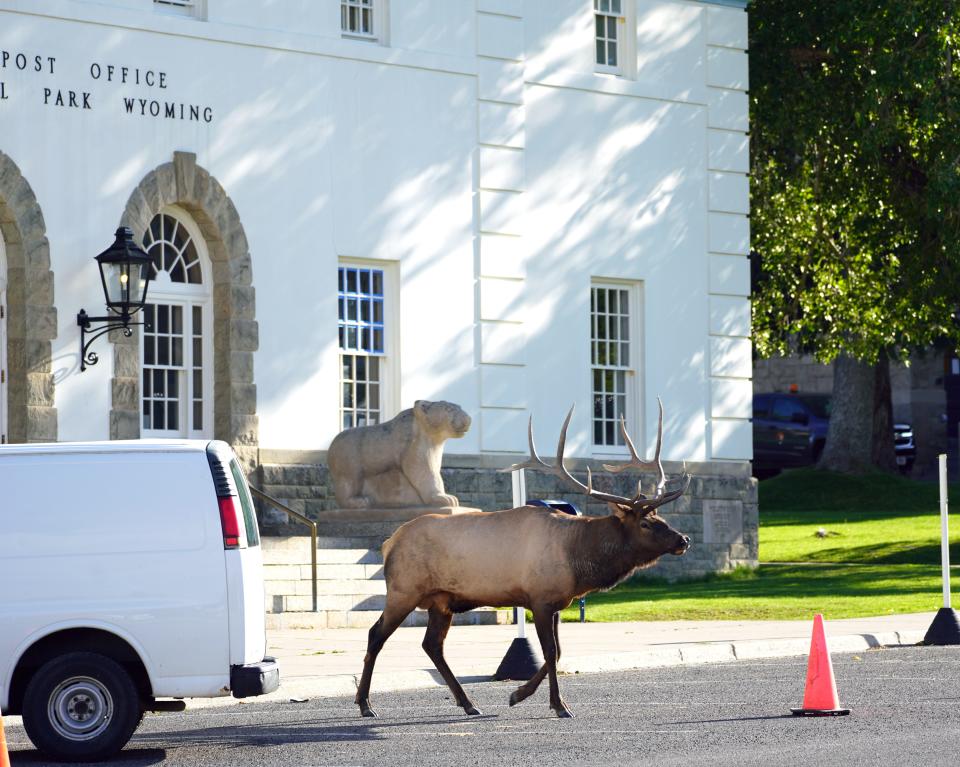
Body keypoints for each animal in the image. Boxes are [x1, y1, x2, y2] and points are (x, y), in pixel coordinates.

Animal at [352, 402, 688, 720]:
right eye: (645, 523)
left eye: (661, 517)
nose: (683, 540)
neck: (578, 559)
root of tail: (389, 543)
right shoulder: (539, 599)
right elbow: (550, 652)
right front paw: (552, 704)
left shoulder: (556, 603)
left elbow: (559, 652)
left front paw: (523, 695)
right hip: (403, 590)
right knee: (376, 635)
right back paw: (365, 704)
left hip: (441, 600)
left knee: (432, 644)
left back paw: (468, 703)